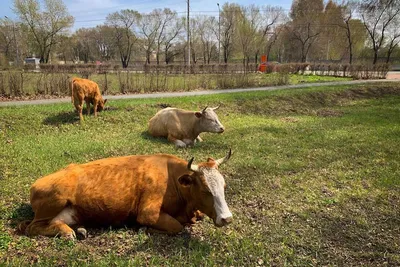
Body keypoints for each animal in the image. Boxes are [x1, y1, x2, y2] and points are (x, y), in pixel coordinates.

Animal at [18, 150, 233, 240]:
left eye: (223, 185)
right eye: (205, 190)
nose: (227, 218)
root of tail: (36, 183)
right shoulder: (147, 213)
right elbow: (176, 226)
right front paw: (146, 230)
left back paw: (78, 230)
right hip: (56, 200)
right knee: (32, 227)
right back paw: (67, 233)